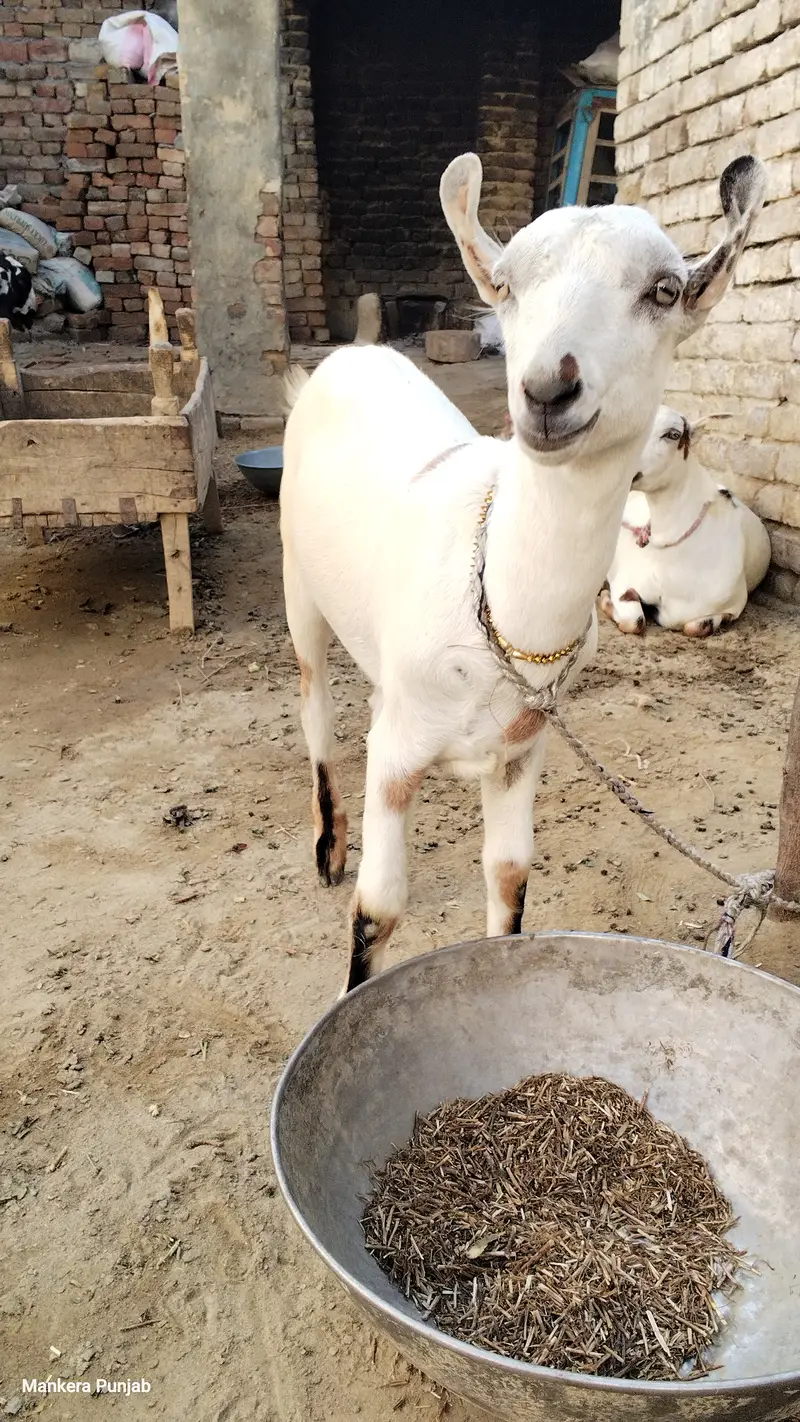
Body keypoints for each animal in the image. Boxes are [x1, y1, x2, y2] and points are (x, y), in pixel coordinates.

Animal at [601, 405, 772, 637]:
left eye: (673, 434)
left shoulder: (732, 605)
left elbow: (696, 627)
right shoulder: (624, 579)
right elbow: (633, 621)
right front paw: (605, 599)